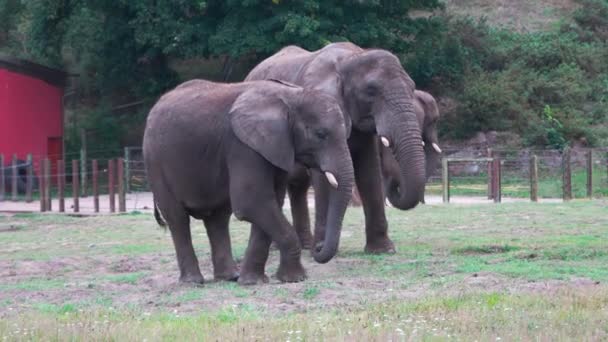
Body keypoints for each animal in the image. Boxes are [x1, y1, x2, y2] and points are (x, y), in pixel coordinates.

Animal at [143, 79, 354, 284]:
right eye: (320, 134)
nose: (318, 247)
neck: (292, 96)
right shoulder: (243, 146)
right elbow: (252, 202)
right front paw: (296, 279)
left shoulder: (273, 147)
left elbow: (269, 203)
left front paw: (254, 281)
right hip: (155, 162)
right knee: (178, 218)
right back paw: (193, 282)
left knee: (218, 218)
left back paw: (229, 277)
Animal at [245, 42, 426, 254]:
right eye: (371, 90)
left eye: (412, 87)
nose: (395, 184)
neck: (351, 58)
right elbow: (325, 177)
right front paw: (321, 247)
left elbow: (369, 172)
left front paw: (383, 250)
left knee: (298, 183)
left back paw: (305, 245)